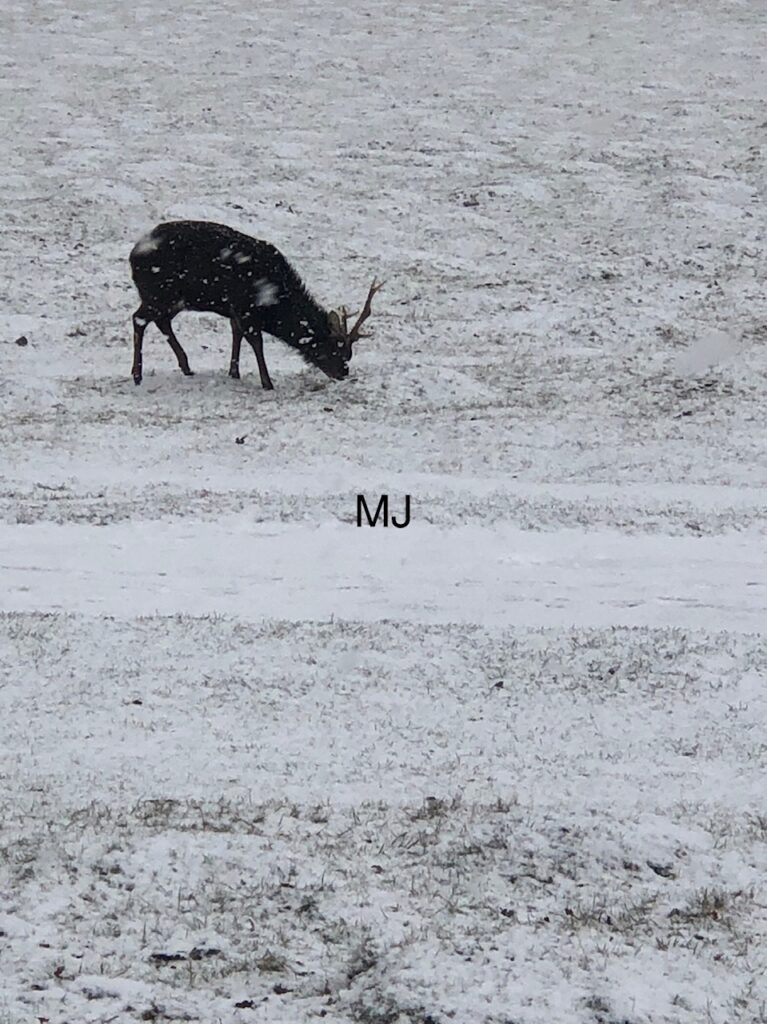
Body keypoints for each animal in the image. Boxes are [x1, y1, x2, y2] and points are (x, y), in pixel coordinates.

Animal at [129, 220, 382, 389]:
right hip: (159, 293)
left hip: (172, 300)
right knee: (139, 319)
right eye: (334, 349)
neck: (276, 301)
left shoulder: (236, 311)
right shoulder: (246, 308)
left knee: (162, 321)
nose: (344, 373)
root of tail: (133, 255)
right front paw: (267, 382)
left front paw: (234, 371)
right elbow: (256, 341)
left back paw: (186, 366)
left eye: (349, 353)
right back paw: (137, 375)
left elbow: (236, 334)